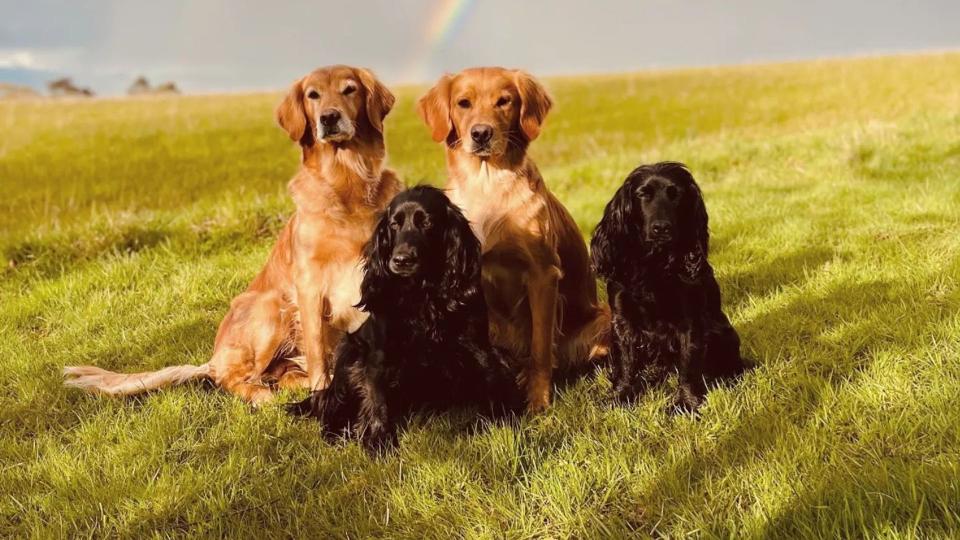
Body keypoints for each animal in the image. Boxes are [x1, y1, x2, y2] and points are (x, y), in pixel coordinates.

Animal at [63, 66, 402, 404]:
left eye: (349, 90)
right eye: (313, 95)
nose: (329, 118)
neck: (348, 184)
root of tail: (213, 358)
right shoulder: (309, 285)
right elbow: (317, 349)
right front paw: (323, 394)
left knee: (281, 373)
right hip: (271, 305)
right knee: (234, 378)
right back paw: (265, 396)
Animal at [288, 186, 520, 452]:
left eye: (427, 222)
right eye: (394, 224)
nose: (400, 260)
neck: (423, 294)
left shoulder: (479, 347)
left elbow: (492, 383)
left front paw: (496, 422)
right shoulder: (378, 355)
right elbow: (376, 400)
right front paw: (379, 442)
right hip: (349, 352)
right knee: (331, 405)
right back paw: (335, 432)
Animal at [418, 67, 608, 414]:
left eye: (504, 101)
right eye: (463, 103)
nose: (481, 133)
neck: (487, 183)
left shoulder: (543, 275)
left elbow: (540, 349)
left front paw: (538, 403)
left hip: (602, 318)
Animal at [588, 162, 748, 412]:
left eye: (676, 194)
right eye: (643, 194)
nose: (661, 228)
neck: (655, 263)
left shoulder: (690, 321)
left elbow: (688, 366)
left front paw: (686, 404)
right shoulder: (622, 321)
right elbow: (626, 363)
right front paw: (621, 396)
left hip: (723, 333)